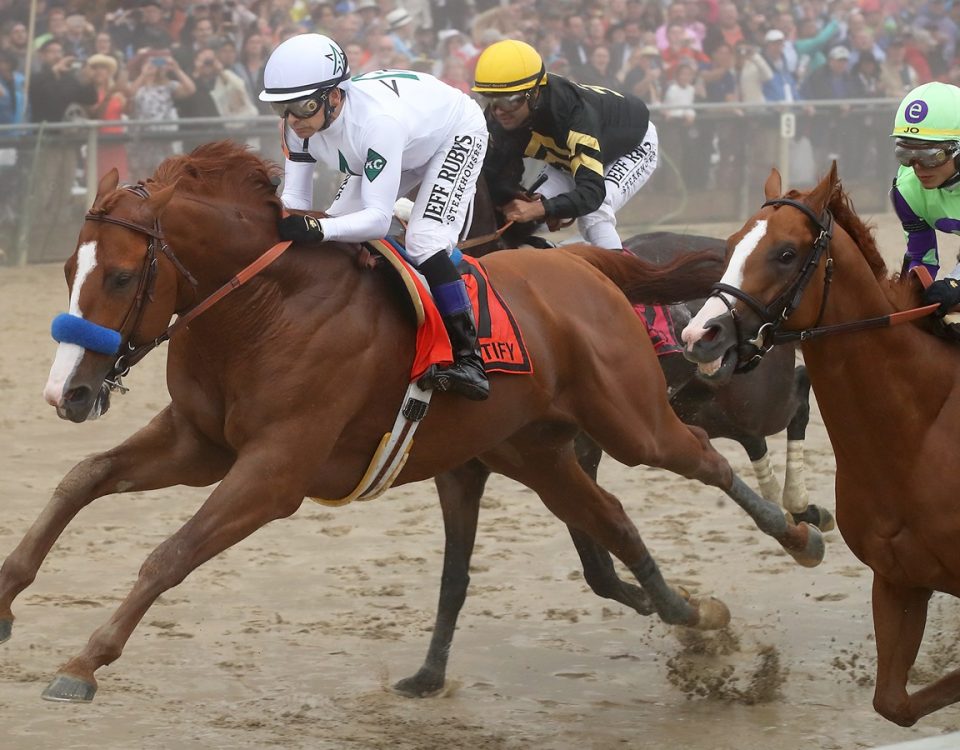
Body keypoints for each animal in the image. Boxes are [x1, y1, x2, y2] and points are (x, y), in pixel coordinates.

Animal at [0, 141, 824, 704]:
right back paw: (695, 613)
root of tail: (584, 264)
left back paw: (798, 531)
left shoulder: (274, 471)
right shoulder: (201, 443)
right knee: (613, 520)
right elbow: (83, 479)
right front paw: (7, 600)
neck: (265, 307)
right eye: (69, 268)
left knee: (709, 453)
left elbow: (169, 555)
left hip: (632, 420)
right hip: (540, 452)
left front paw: (82, 664)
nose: (68, 392)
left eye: (119, 276)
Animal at [680, 162, 960, 724]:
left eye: (786, 253)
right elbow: (894, 703)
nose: (701, 334)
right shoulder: (898, 579)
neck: (915, 437)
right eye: (731, 244)